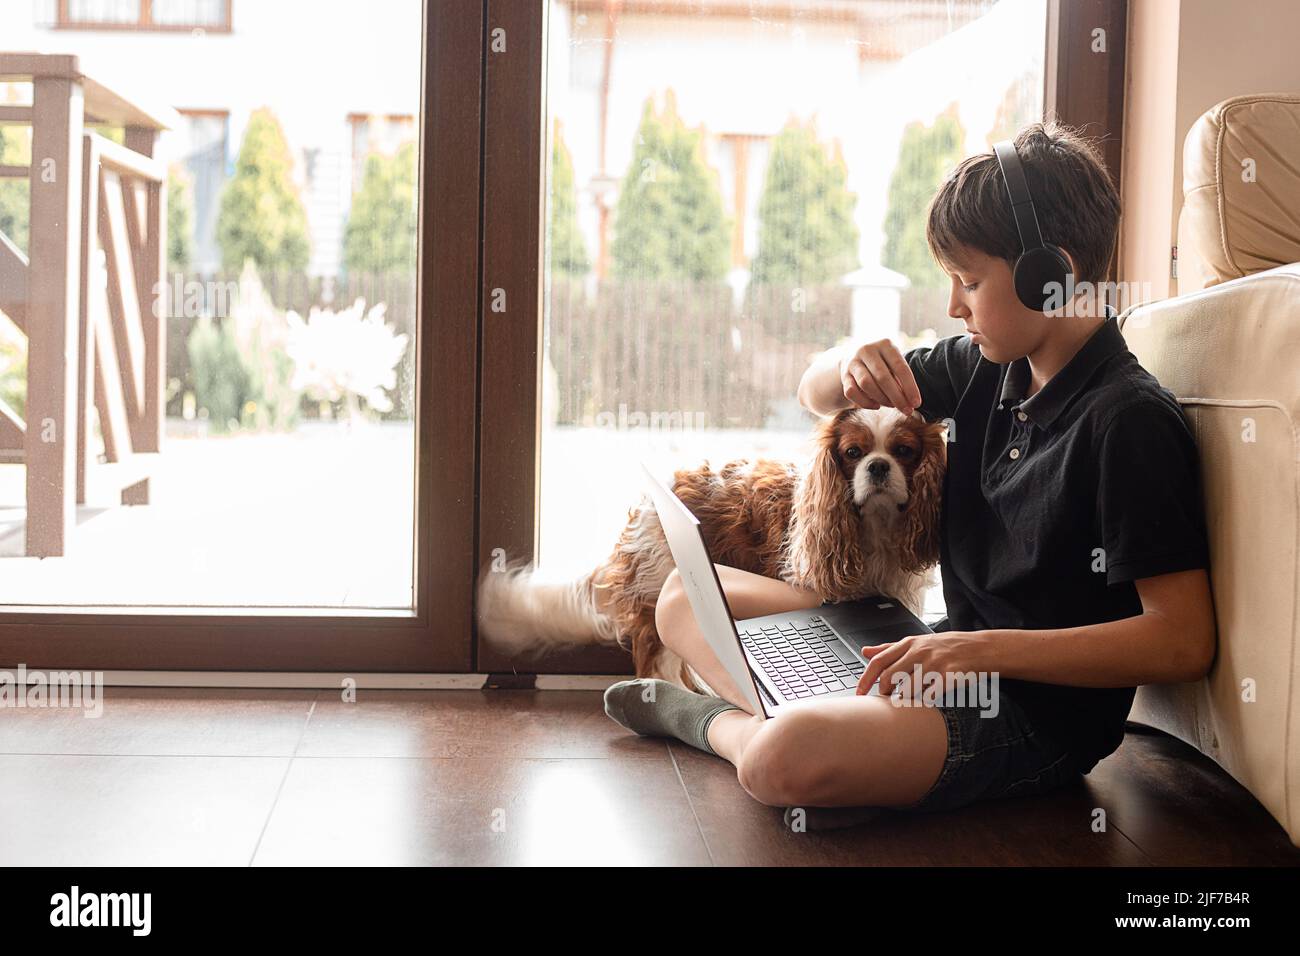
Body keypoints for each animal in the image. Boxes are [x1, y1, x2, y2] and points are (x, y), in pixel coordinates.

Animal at [478, 405, 946, 697]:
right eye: (853, 453)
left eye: (904, 451)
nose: (878, 466)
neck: (875, 529)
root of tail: (648, 502)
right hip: (663, 584)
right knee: (659, 660)